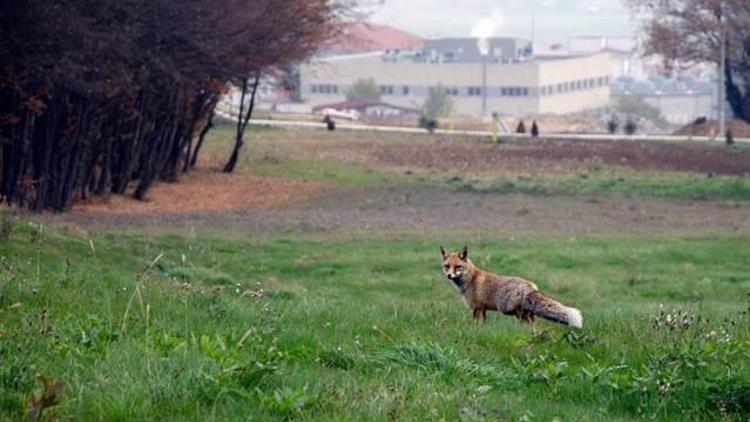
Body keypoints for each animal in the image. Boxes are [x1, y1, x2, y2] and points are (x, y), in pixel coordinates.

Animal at [444, 244, 584, 330]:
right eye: (447, 266)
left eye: (458, 267)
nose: (449, 275)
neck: (470, 279)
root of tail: (530, 286)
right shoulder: (483, 308)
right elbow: (483, 323)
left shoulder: (476, 308)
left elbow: (475, 324)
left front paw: (475, 330)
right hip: (528, 314)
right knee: (535, 325)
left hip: (514, 312)